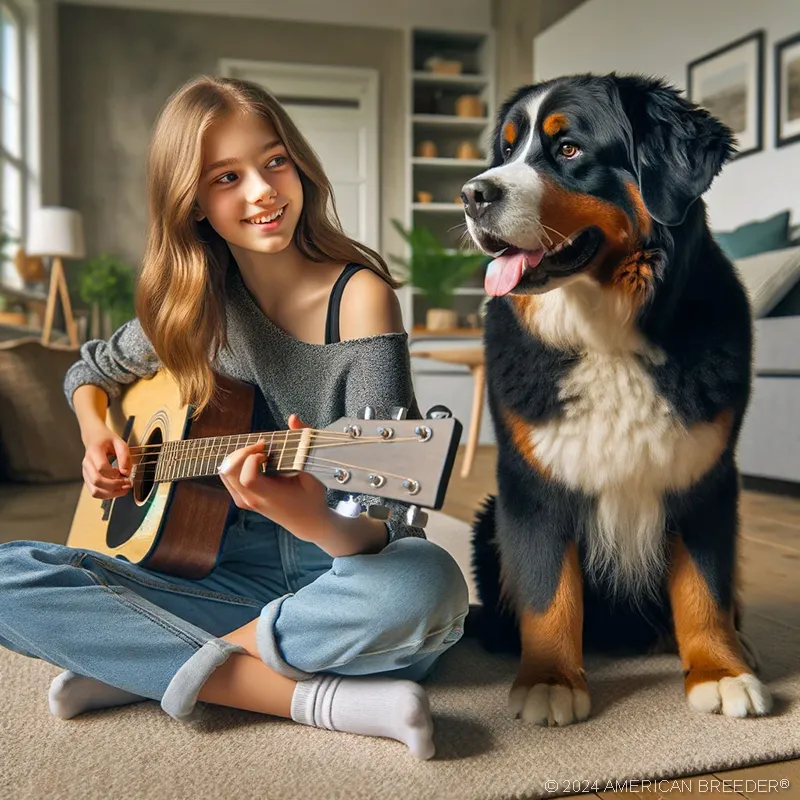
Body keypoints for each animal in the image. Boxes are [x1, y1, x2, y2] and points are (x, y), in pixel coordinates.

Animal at [462, 73, 776, 724]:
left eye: (569, 149)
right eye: (506, 150)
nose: (472, 194)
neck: (604, 335)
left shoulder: (706, 477)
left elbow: (705, 587)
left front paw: (721, 670)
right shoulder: (532, 486)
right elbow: (547, 591)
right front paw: (550, 680)